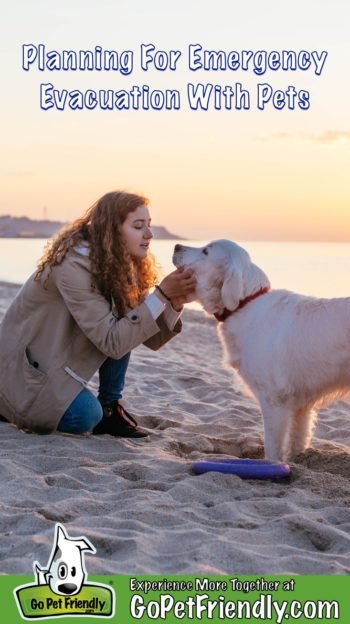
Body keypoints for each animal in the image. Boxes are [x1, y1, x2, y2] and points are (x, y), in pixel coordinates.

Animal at [173, 241, 350, 460]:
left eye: (206, 251)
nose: (176, 246)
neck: (245, 304)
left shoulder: (273, 400)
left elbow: (273, 449)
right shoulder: (301, 405)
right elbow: (297, 442)